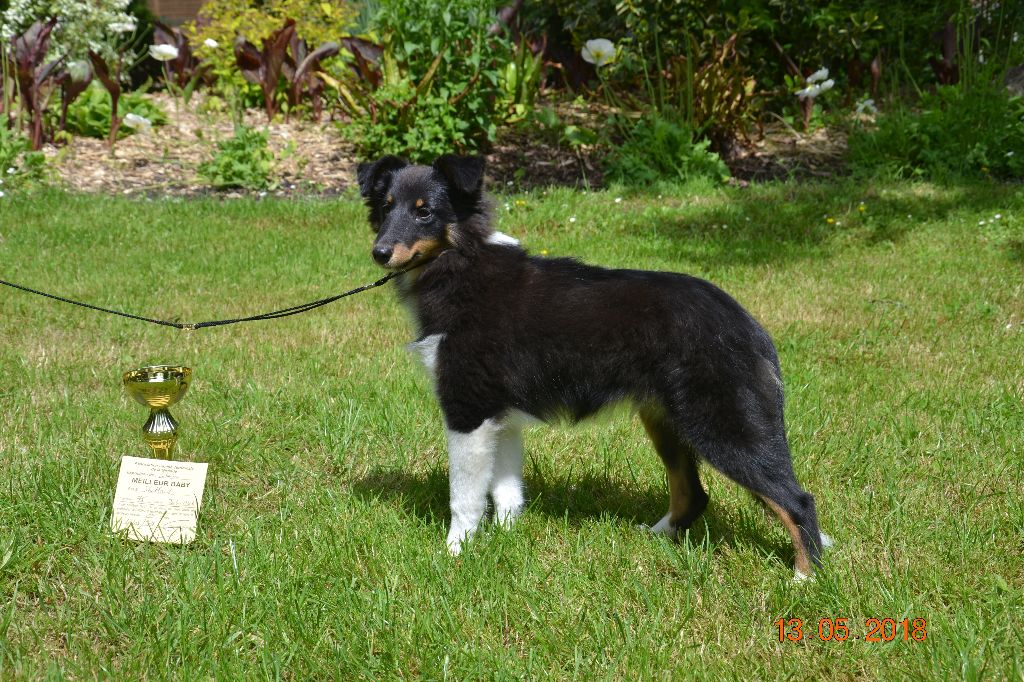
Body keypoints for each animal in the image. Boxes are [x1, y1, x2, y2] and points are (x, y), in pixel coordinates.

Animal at [356, 152, 827, 573]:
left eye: (425, 212)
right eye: (386, 207)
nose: (379, 253)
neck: (458, 262)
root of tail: (749, 324)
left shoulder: (467, 409)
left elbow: (465, 495)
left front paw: (455, 552)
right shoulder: (500, 415)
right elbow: (505, 489)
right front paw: (508, 537)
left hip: (723, 424)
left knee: (797, 501)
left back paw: (805, 577)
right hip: (666, 421)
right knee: (693, 493)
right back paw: (651, 538)